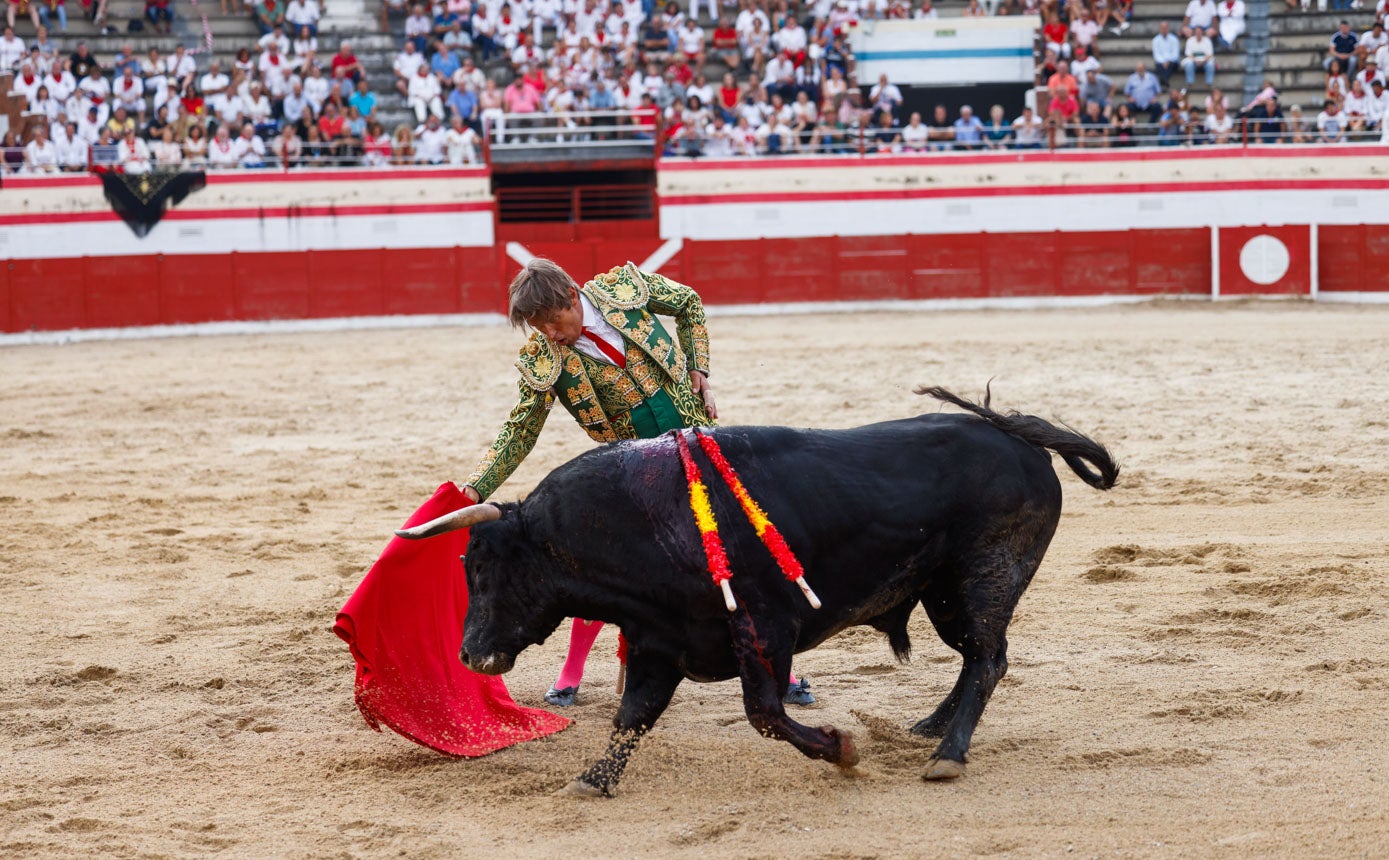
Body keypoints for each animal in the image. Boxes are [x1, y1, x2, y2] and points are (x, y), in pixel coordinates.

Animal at [394, 386, 1116, 794]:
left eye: (484, 568)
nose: (470, 654)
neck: (642, 525)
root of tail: (1021, 441)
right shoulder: (659, 642)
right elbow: (632, 717)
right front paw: (592, 782)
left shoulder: (765, 633)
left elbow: (764, 713)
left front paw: (841, 751)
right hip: (944, 594)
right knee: (977, 659)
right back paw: (930, 727)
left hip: (982, 577)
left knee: (987, 657)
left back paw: (947, 755)